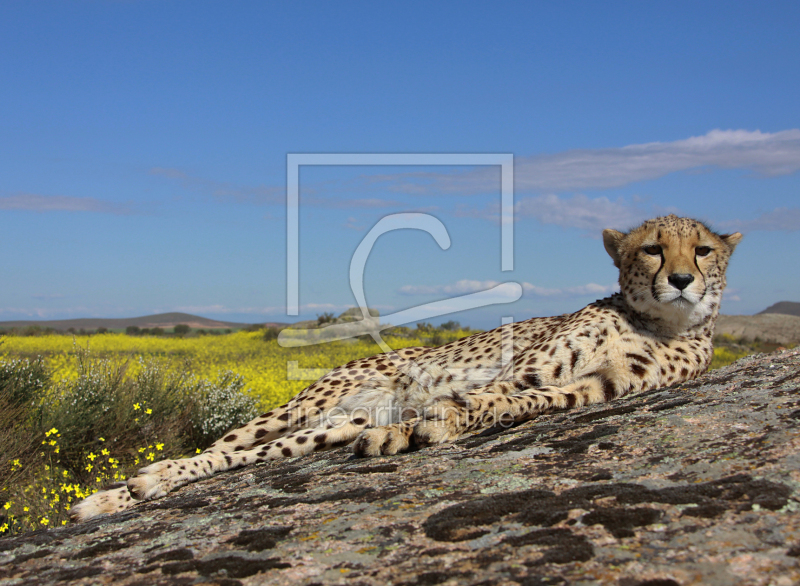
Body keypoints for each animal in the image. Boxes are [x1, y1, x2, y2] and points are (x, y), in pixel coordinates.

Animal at [72, 216, 740, 520]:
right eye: (652, 249)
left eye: (703, 250)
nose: (683, 280)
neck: (655, 323)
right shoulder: (525, 368)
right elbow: (485, 395)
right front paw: (421, 427)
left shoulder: (592, 388)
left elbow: (510, 404)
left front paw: (427, 429)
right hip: (305, 405)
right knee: (221, 445)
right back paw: (120, 493)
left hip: (331, 425)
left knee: (256, 455)